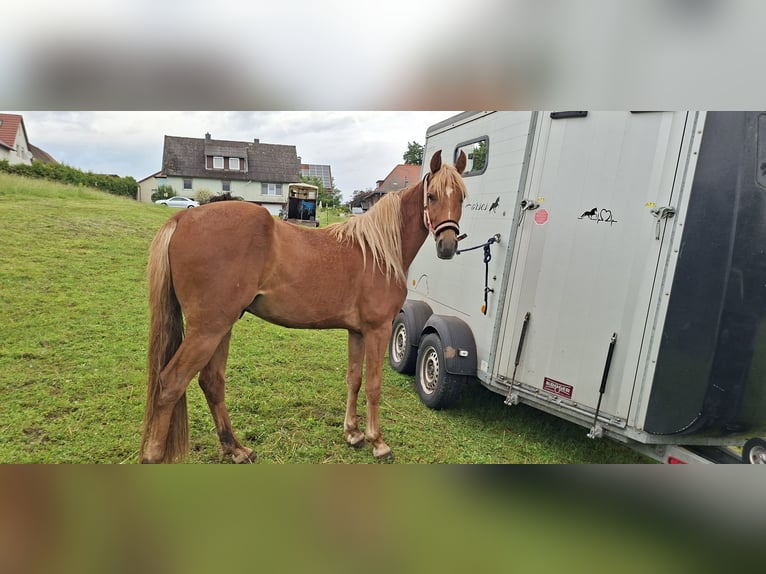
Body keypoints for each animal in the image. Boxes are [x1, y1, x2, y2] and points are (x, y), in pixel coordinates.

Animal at [139, 150, 467, 463]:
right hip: (207, 330)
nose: (448, 246)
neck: (378, 252)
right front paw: (378, 442)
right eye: (432, 196)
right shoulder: (378, 330)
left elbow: (354, 379)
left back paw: (236, 449)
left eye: (462, 197)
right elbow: (374, 385)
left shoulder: (357, 332)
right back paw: (155, 455)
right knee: (171, 382)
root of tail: (183, 220)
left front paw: (353, 433)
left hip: (221, 327)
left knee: (211, 382)